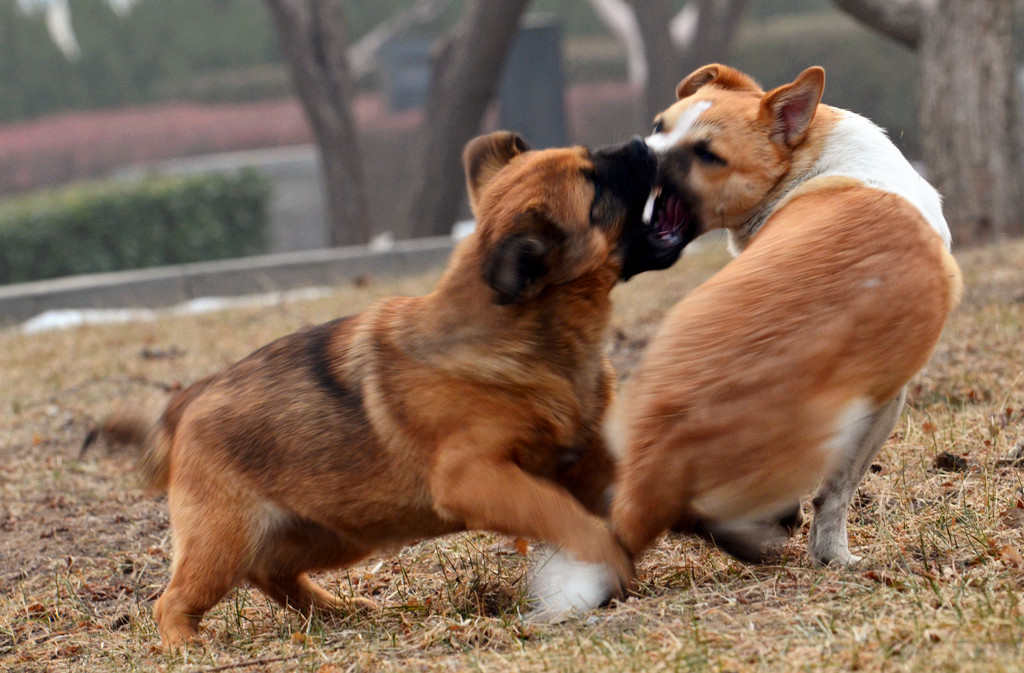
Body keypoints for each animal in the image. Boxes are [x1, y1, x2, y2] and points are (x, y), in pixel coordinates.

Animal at [86, 131, 688, 647]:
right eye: (595, 183)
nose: (646, 143)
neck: (536, 336)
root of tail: (183, 403)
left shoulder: (584, 463)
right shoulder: (476, 479)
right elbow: (564, 515)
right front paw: (607, 563)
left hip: (333, 534)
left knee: (272, 574)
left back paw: (337, 611)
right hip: (225, 542)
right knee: (174, 600)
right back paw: (187, 644)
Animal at [532, 64, 962, 618]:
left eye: (707, 154)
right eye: (659, 125)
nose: (635, 152)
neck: (806, 160)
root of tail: (665, 451)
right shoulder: (886, 402)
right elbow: (838, 494)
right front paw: (835, 556)